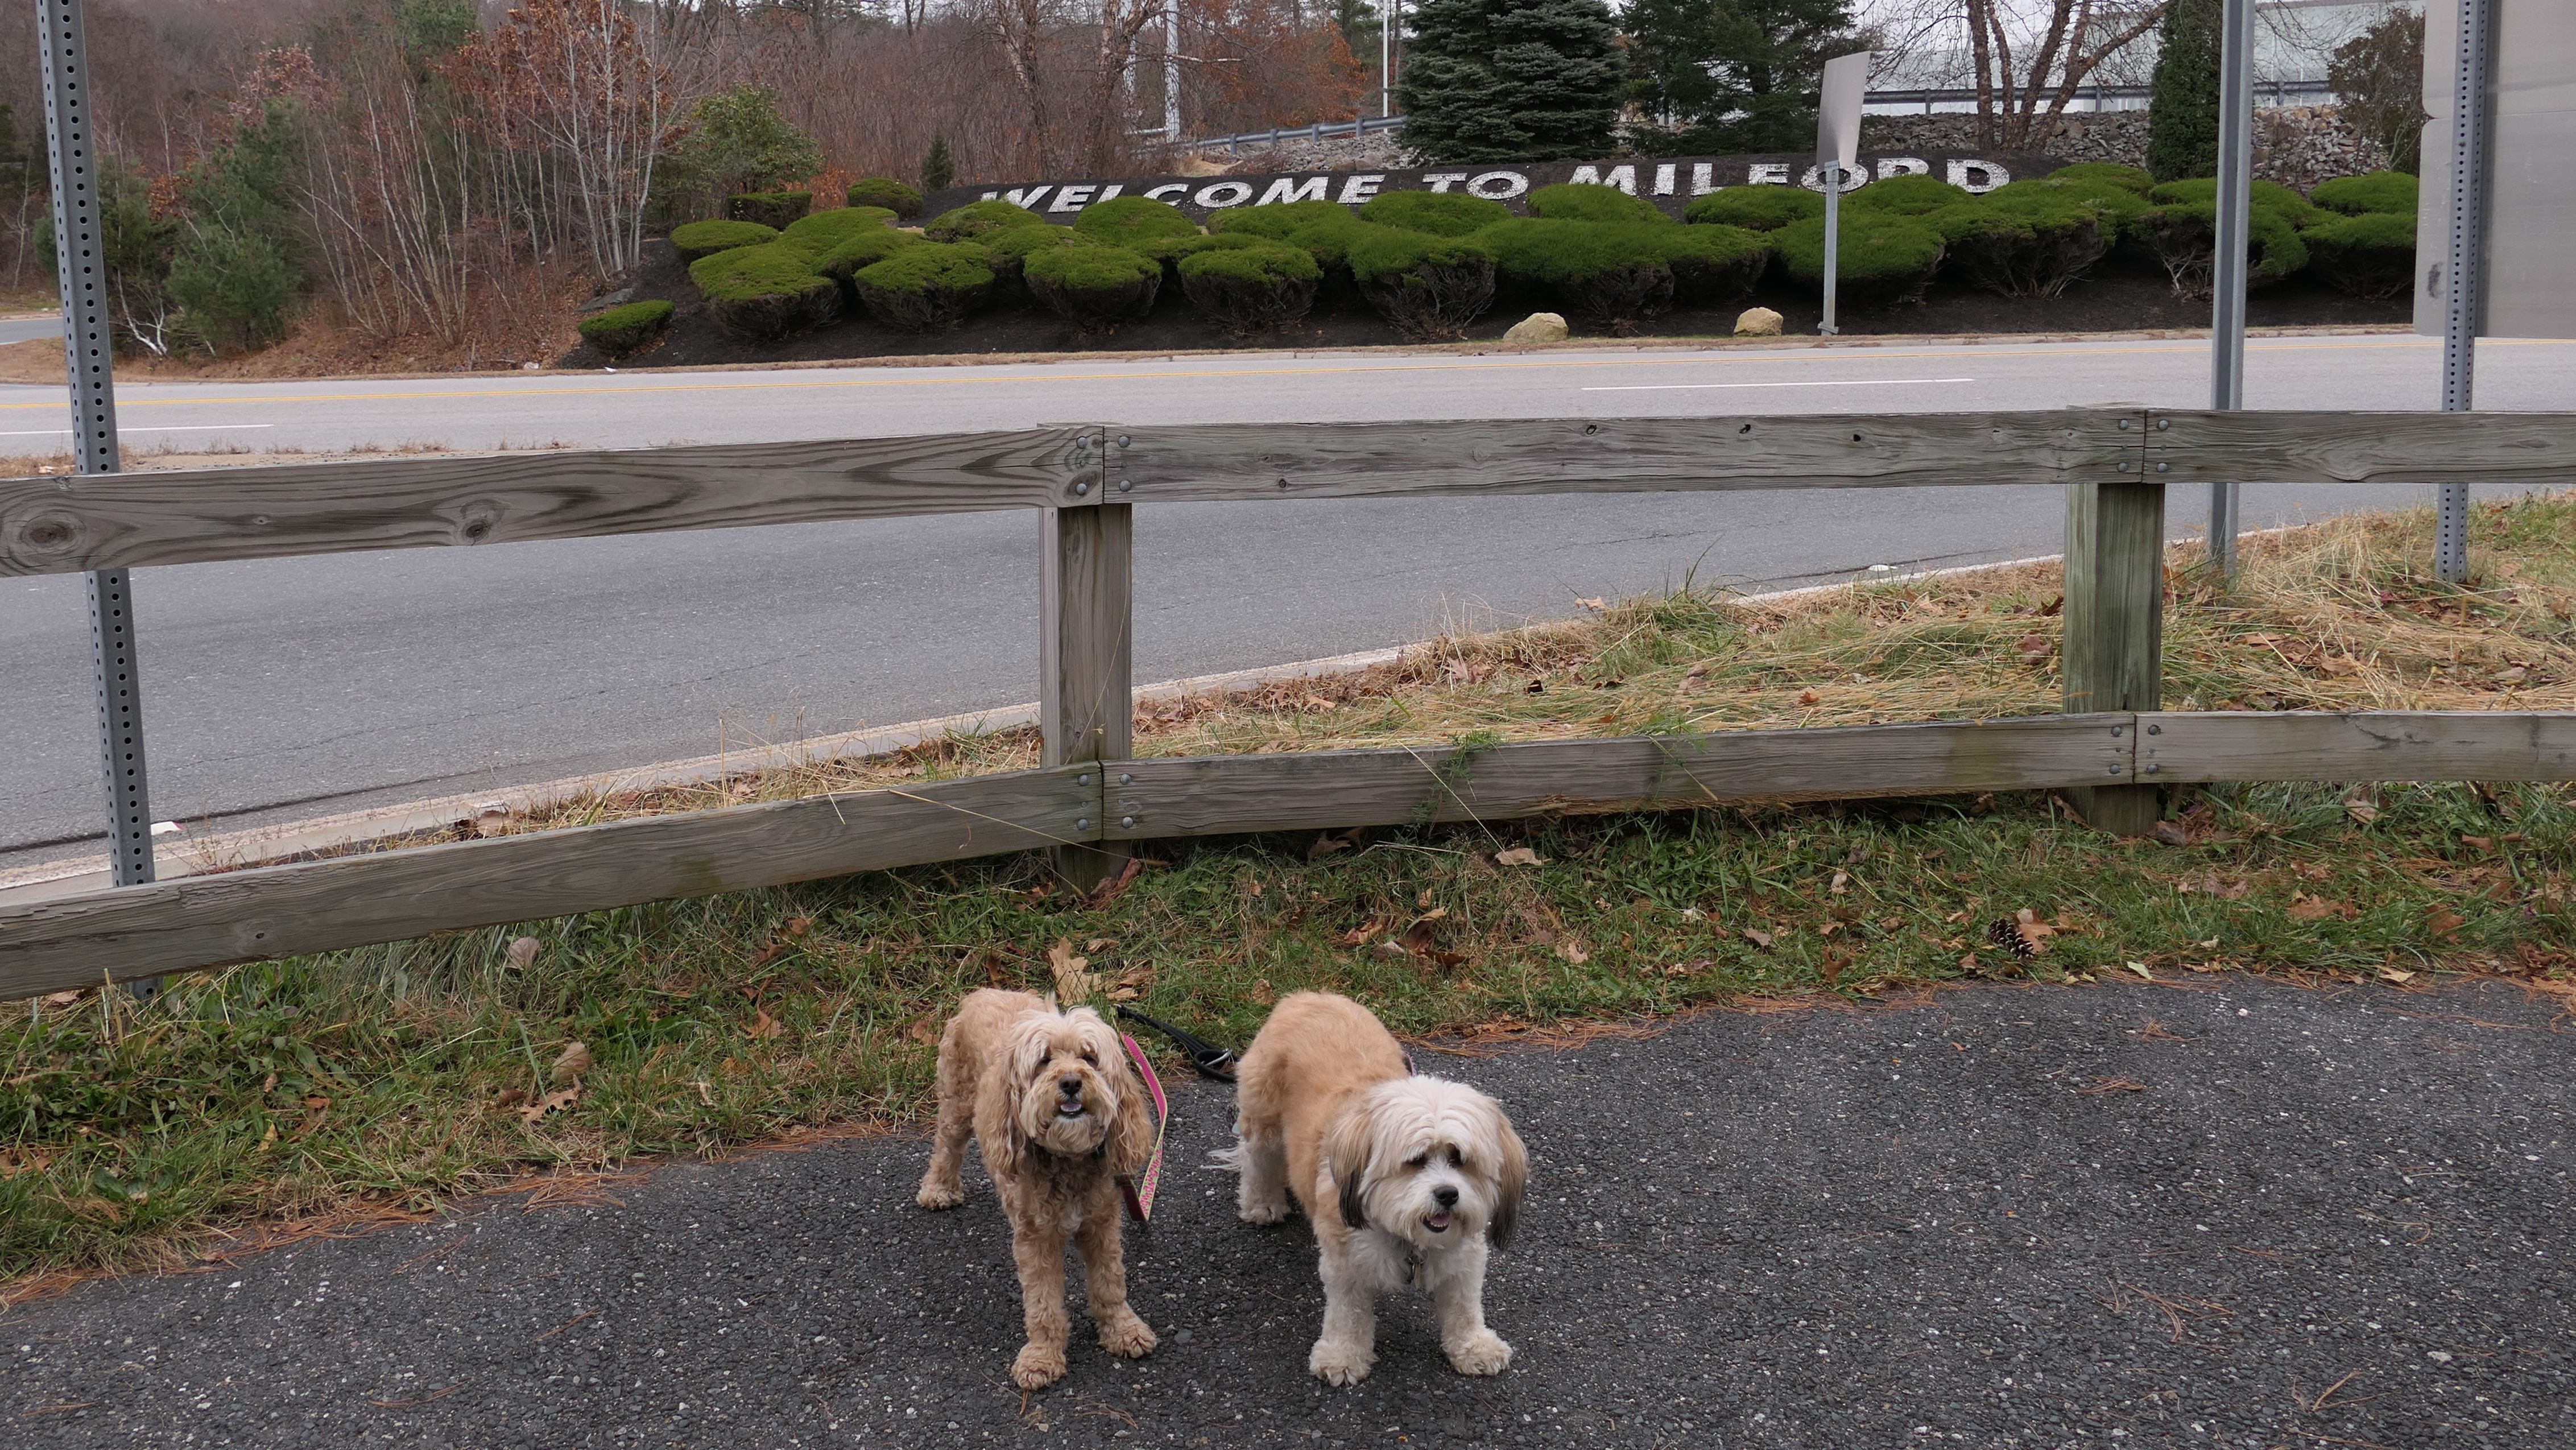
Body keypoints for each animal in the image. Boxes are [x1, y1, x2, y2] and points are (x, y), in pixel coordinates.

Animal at [916, 989, 1158, 1389]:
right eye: (1044, 1061)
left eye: (1089, 1057)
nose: (1072, 1082)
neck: (1068, 1159)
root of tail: (982, 992)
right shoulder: (1035, 1237)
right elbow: (1043, 1303)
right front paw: (1042, 1357)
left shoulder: (1102, 1223)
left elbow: (1110, 1283)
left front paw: (1123, 1330)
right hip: (957, 1101)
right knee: (946, 1146)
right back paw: (938, 1189)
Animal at [1226, 991, 1527, 1386]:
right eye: (1416, 1160)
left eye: (1460, 1159)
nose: (1448, 1194)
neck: (1402, 1233)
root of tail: (1306, 996)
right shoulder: (1346, 1262)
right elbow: (1347, 1314)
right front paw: (1342, 1356)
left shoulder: (1463, 1259)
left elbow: (1464, 1306)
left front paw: (1474, 1346)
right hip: (1264, 1118)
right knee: (1257, 1160)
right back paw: (1262, 1203)